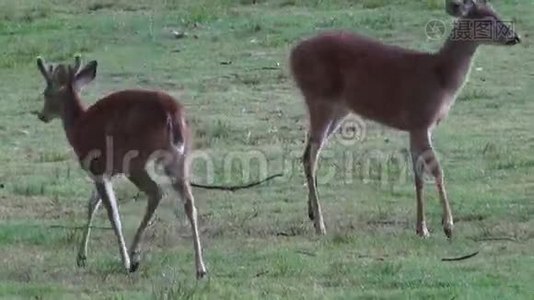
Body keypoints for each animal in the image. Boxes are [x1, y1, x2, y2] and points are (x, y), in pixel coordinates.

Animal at [34, 54, 208, 278]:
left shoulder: (97, 166)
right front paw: (81, 257)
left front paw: (122, 260)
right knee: (189, 202)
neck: (77, 126)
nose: (42, 115)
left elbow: (111, 212)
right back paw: (200, 268)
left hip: (135, 160)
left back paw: (133, 256)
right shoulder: (108, 171)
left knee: (156, 192)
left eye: (46, 93)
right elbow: (92, 204)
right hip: (180, 156)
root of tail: (173, 114)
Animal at [292, 0, 520, 239]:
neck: (440, 76)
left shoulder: (414, 127)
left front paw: (421, 227)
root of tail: (292, 55)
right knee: (310, 155)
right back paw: (321, 225)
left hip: (339, 108)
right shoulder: (421, 120)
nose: (515, 37)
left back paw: (312, 214)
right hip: (320, 99)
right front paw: (448, 225)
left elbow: (418, 175)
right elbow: (436, 168)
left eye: (496, 12)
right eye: (487, 20)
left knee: (309, 153)